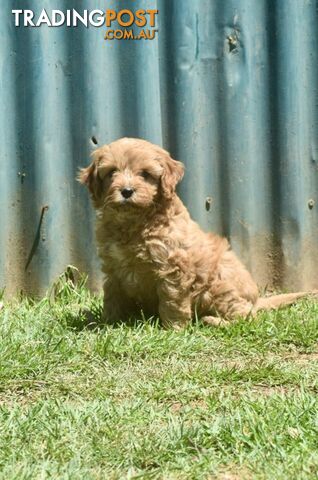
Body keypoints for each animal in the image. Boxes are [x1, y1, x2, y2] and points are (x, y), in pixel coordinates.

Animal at [78, 137, 316, 328]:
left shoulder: (173, 267)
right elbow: (112, 295)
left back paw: (213, 321)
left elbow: (172, 299)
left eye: (145, 174)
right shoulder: (113, 267)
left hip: (220, 283)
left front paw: (173, 329)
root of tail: (257, 300)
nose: (126, 191)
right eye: (111, 173)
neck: (133, 222)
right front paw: (107, 322)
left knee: (247, 316)